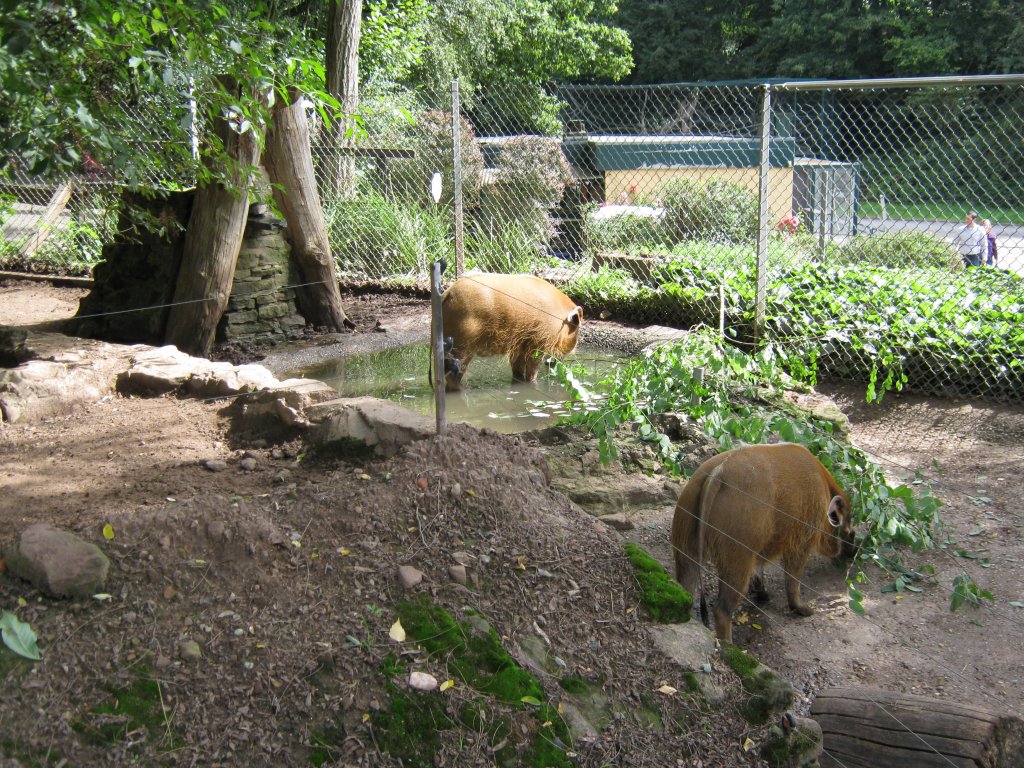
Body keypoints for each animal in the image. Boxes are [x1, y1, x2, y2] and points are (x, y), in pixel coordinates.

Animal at [440, 274, 585, 391]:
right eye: (576, 329)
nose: (554, 364)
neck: (559, 319)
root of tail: (448, 294)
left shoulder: (519, 346)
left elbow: (517, 371)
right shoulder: (538, 343)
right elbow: (532, 369)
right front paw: (533, 383)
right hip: (462, 345)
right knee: (453, 375)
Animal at [671, 442, 856, 647]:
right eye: (848, 520)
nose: (854, 549)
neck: (824, 490)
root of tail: (716, 474)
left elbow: (760, 569)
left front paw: (763, 595)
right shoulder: (801, 541)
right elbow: (793, 578)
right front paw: (804, 610)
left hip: (686, 542)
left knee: (686, 587)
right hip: (737, 556)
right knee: (722, 609)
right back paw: (729, 645)